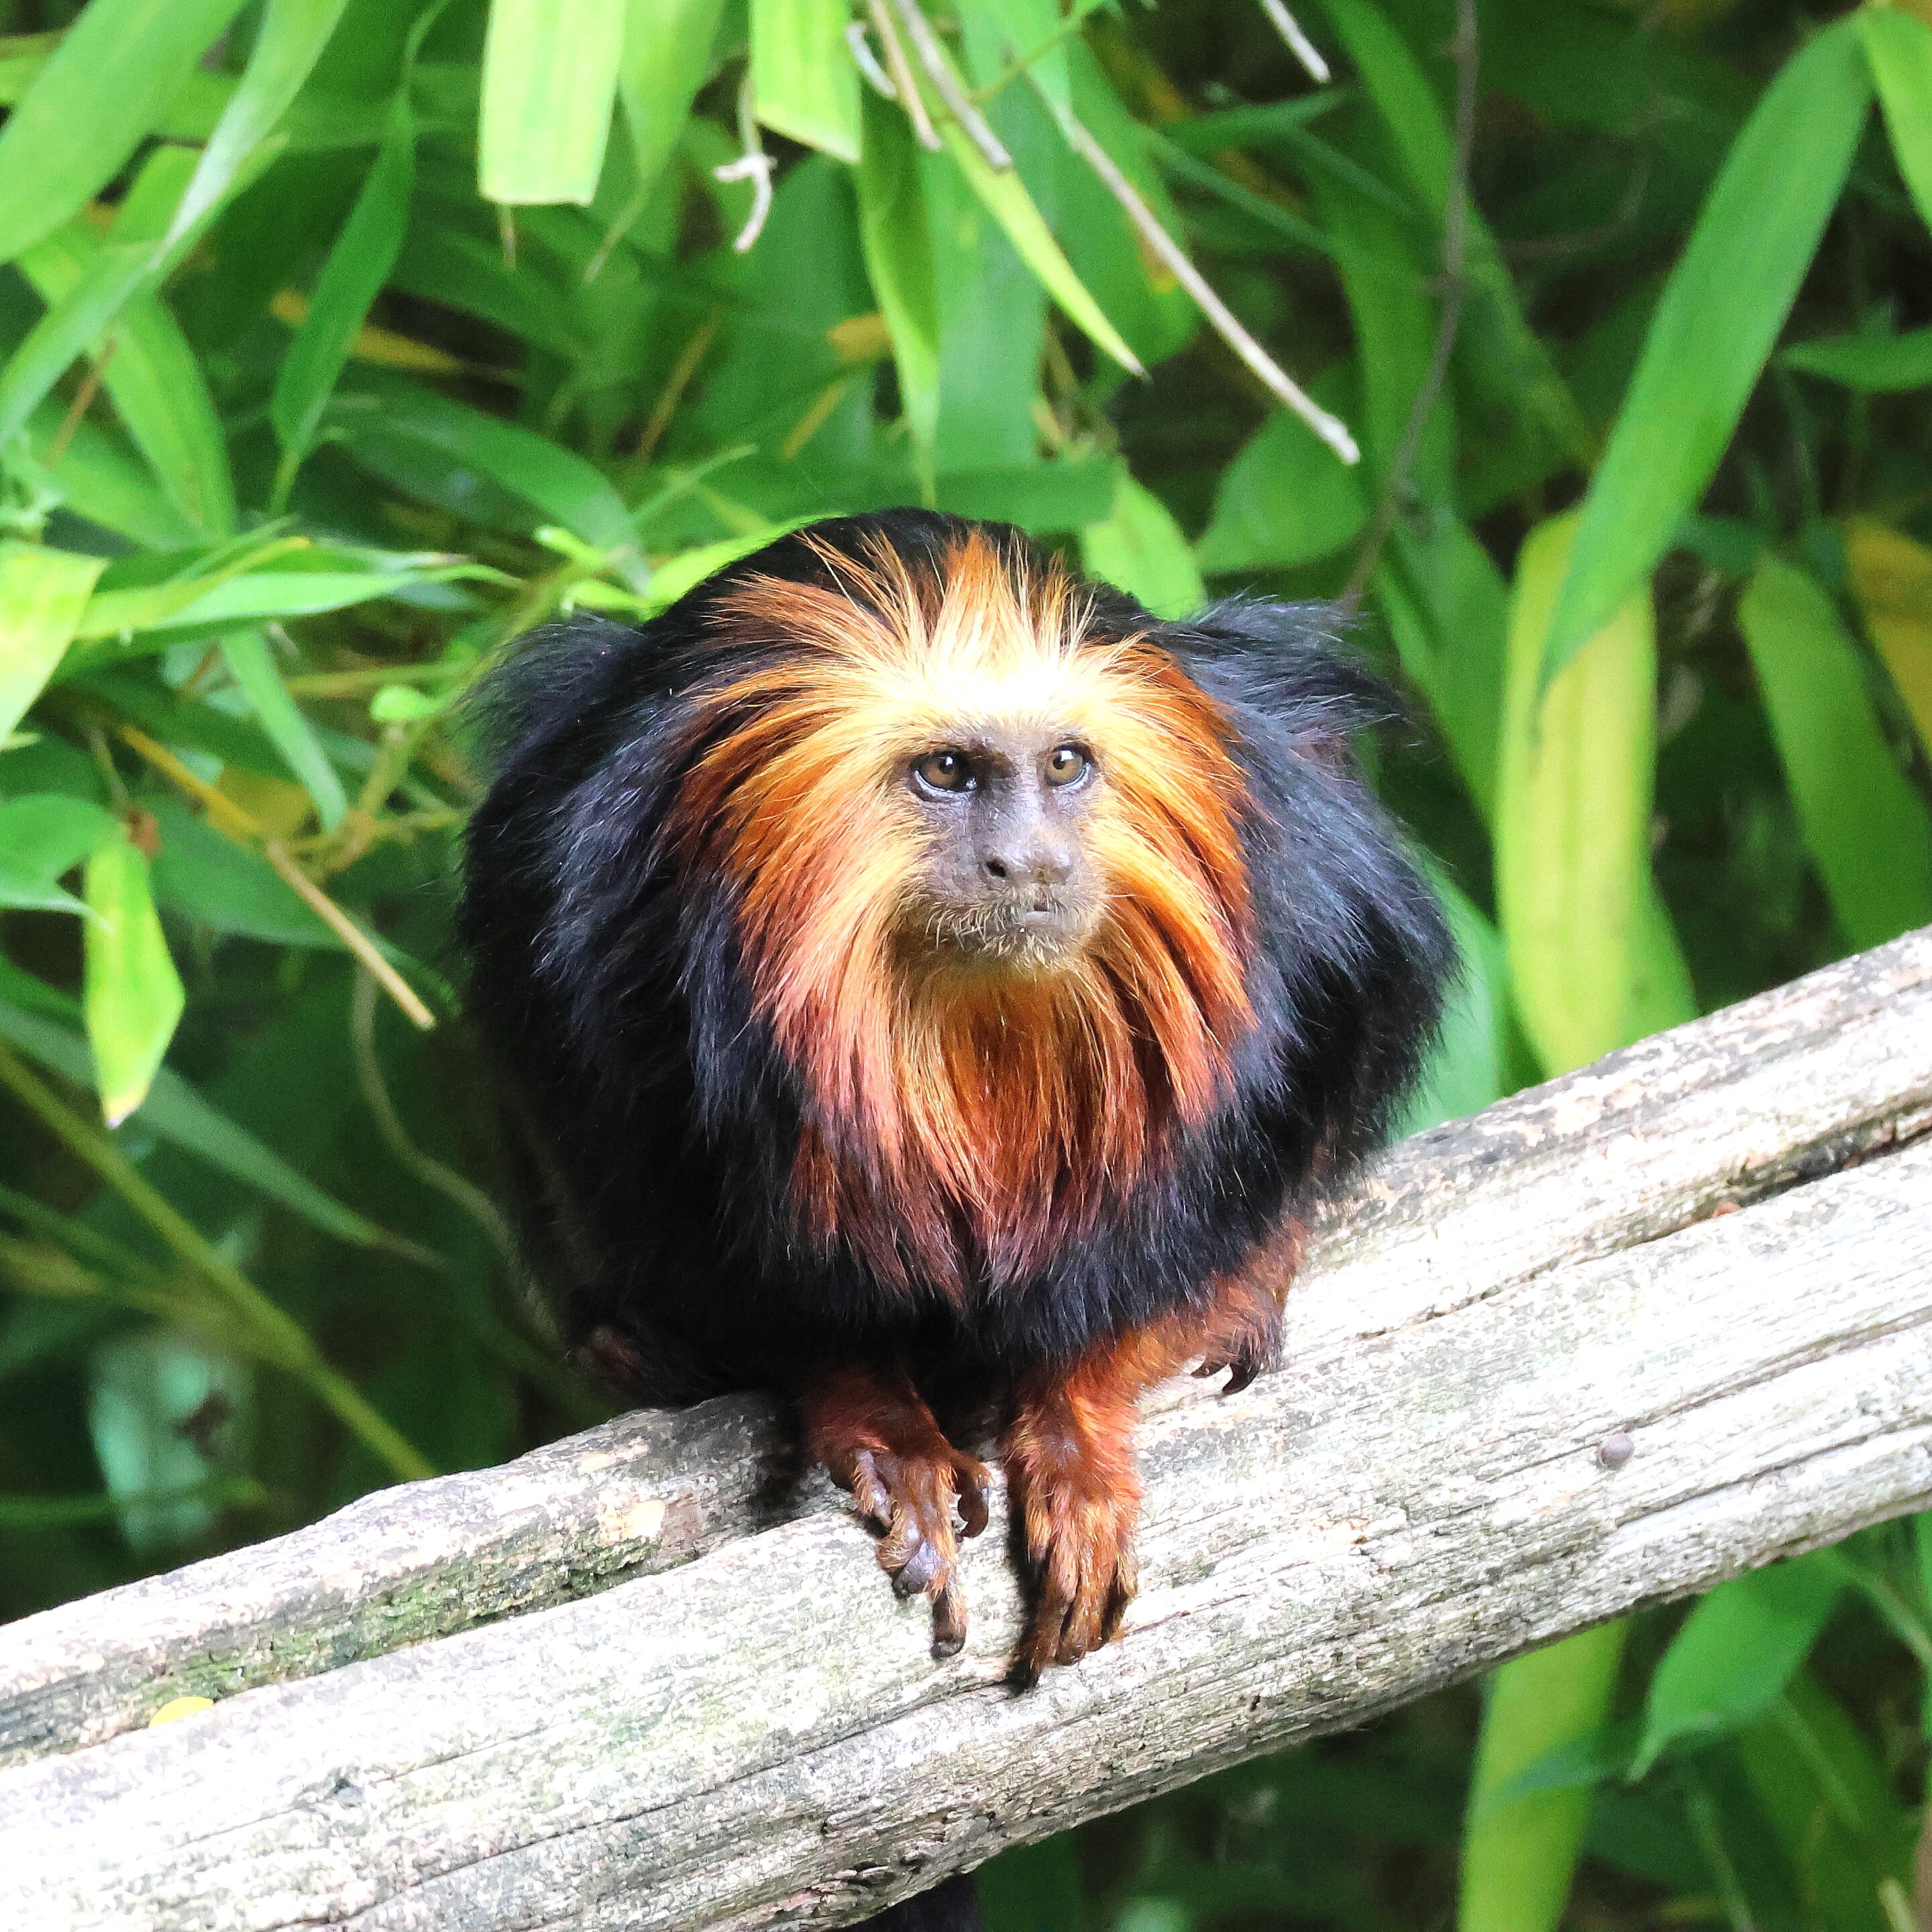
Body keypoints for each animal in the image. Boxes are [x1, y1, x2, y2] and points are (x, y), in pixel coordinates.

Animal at [459, 509, 1452, 1681]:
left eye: (1064, 765)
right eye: (946, 772)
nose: (1029, 862)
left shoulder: (1315, 902)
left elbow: (1162, 1233)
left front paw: (1076, 1430)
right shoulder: (598, 958)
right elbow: (769, 1285)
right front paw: (883, 1428)